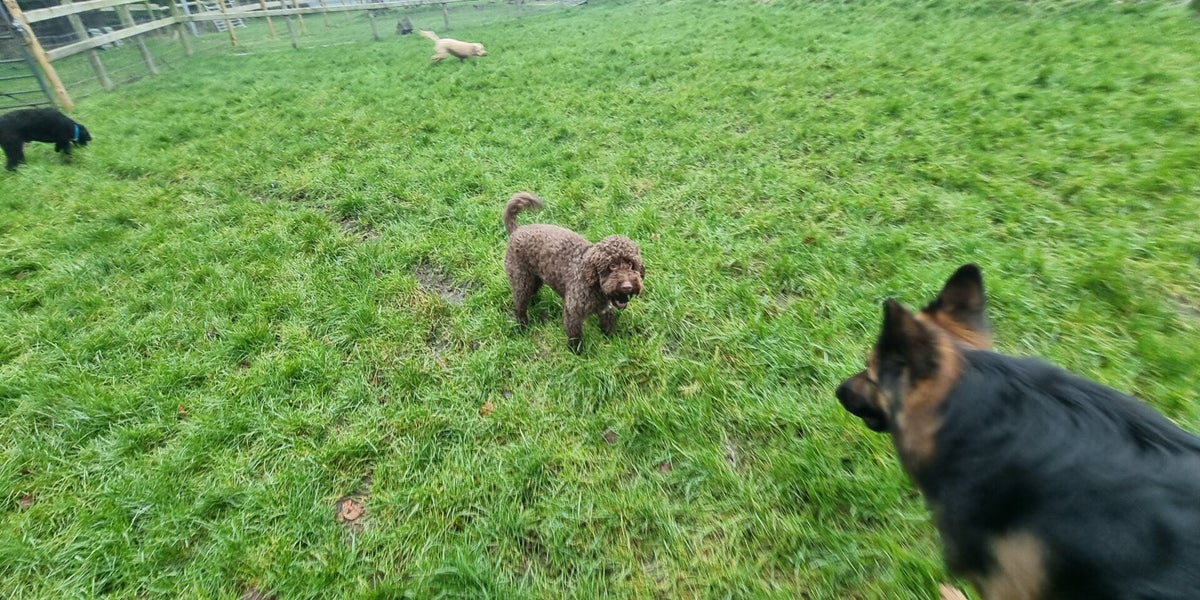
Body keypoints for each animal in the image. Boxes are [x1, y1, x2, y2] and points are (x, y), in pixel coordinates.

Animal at [503, 192, 644, 353]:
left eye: (631, 264)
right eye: (612, 266)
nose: (627, 287)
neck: (594, 286)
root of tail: (516, 230)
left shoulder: (605, 310)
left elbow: (608, 326)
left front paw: (612, 339)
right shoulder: (572, 313)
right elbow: (575, 335)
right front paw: (576, 352)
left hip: (534, 279)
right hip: (521, 281)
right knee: (519, 306)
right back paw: (523, 327)